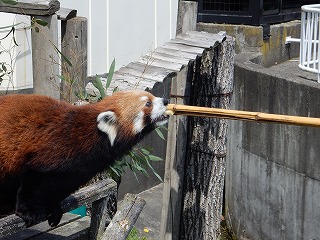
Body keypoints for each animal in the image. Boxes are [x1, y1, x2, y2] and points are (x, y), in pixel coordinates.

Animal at [0, 90, 170, 227]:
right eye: (148, 103)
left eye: (152, 96)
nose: (166, 100)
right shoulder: (49, 152)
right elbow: (31, 181)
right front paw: (26, 211)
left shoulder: (78, 172)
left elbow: (58, 187)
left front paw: (54, 207)